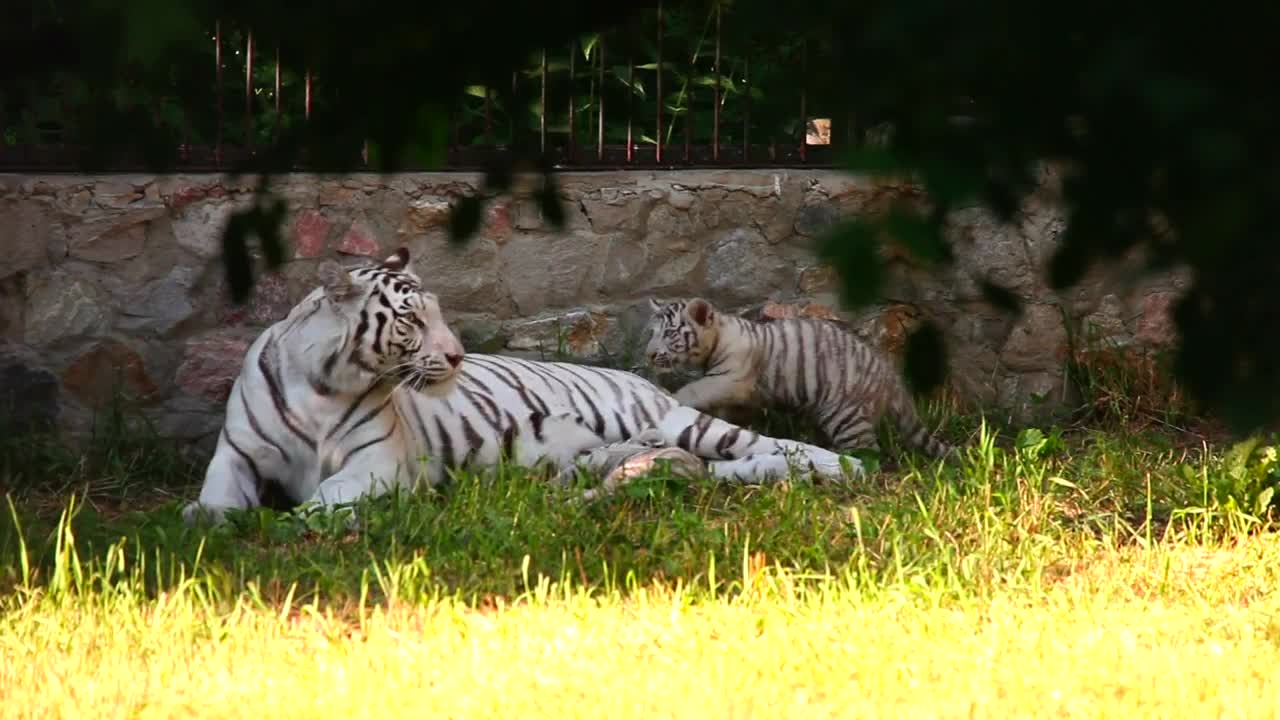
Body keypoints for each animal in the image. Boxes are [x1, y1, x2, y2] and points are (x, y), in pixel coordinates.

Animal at [182, 248, 864, 526]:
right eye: (412, 319)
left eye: (438, 311)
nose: (457, 355)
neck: (324, 385)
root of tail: (641, 379)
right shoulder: (236, 455)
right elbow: (213, 500)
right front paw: (205, 519)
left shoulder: (378, 464)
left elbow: (323, 498)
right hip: (629, 450)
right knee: (708, 465)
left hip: (681, 421)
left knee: (766, 445)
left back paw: (847, 467)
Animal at [643, 297, 952, 459]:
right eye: (652, 333)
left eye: (669, 334)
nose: (649, 355)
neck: (717, 336)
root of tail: (887, 373)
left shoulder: (730, 378)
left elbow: (695, 389)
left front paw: (671, 396)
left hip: (846, 415)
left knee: (868, 450)